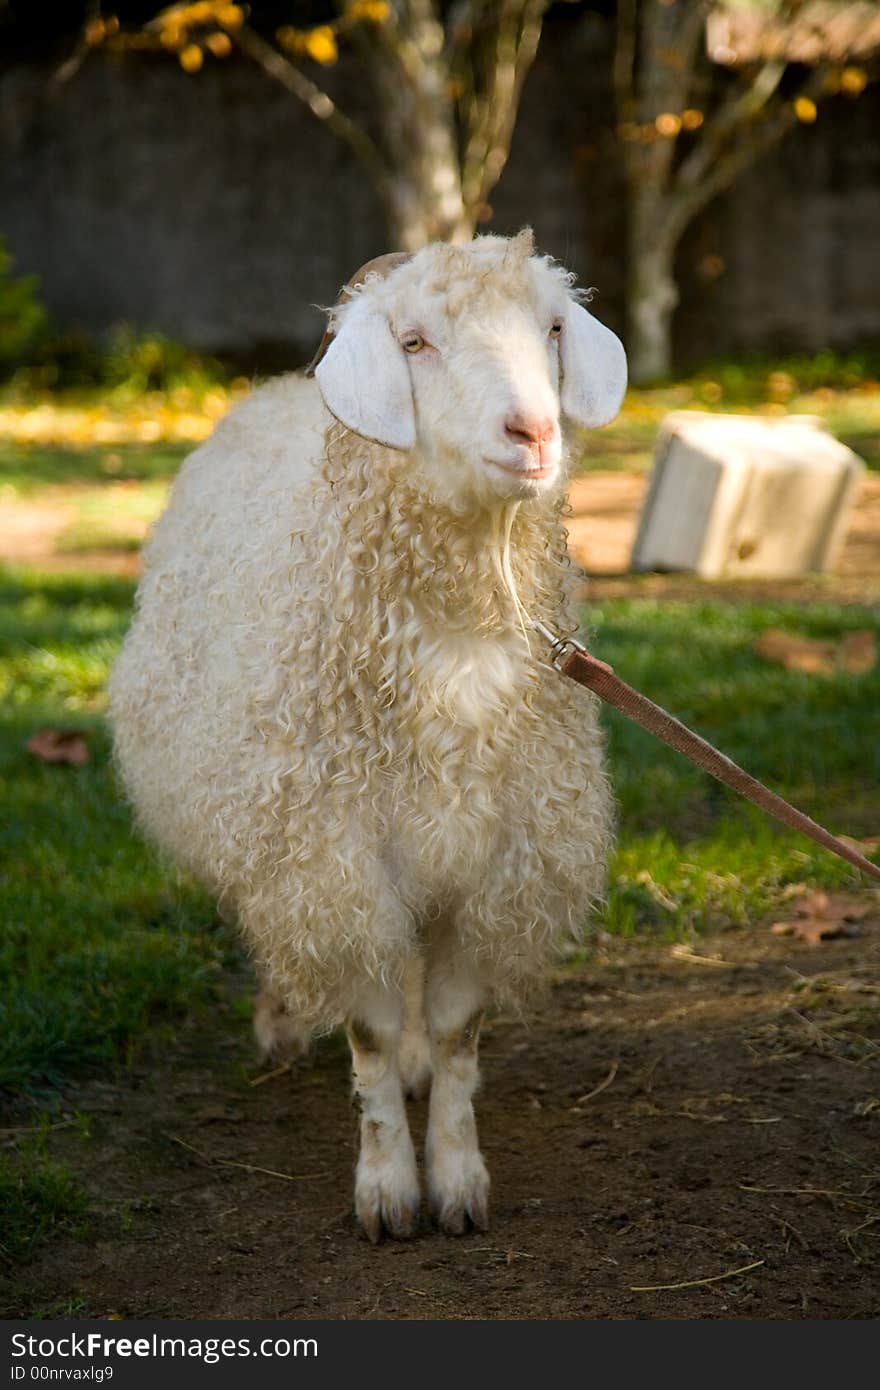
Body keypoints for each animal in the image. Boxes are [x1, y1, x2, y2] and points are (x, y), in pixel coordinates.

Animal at [109, 227, 628, 1239]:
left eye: (552, 326)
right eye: (416, 342)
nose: (533, 434)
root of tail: (278, 386)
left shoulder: (494, 858)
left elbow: (458, 1031)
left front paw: (457, 1179)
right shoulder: (329, 857)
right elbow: (370, 1031)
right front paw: (388, 1190)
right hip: (264, 823)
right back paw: (280, 1020)